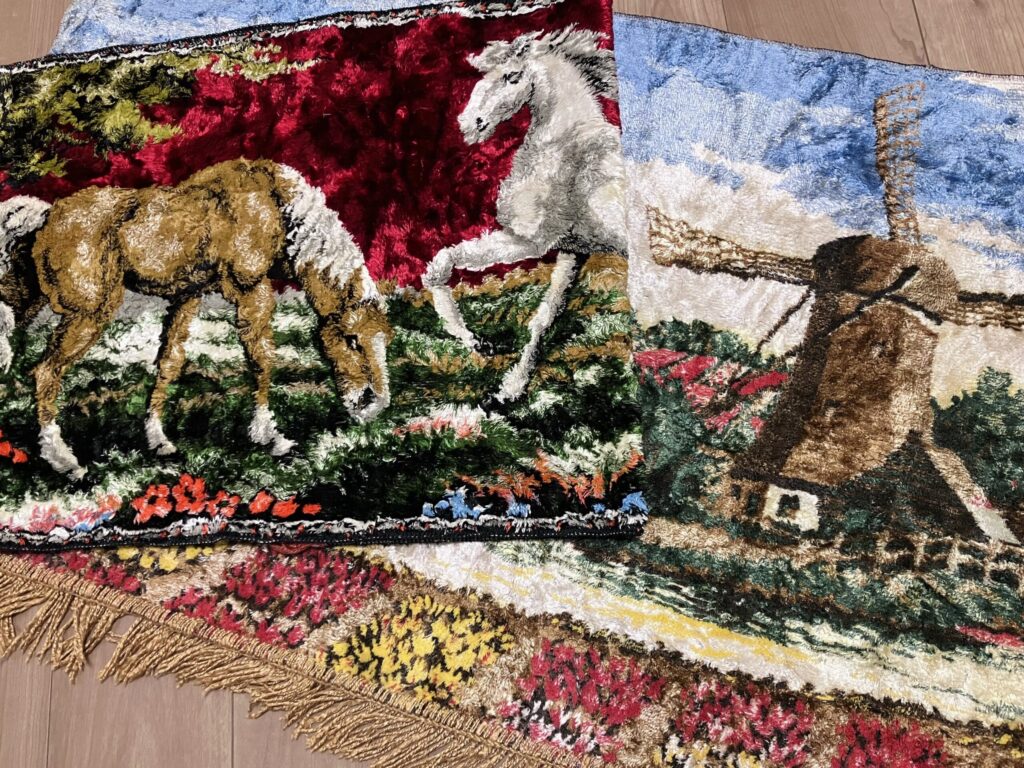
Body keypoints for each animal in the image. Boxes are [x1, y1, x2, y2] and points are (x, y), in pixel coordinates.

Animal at [0, 158, 391, 480]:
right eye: (353, 340)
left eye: (384, 339)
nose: (372, 405)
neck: (277, 207)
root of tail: (44, 218)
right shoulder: (250, 288)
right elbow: (262, 358)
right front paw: (270, 436)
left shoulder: (188, 295)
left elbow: (169, 362)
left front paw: (158, 440)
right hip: (89, 312)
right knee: (46, 372)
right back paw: (64, 461)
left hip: (32, 302)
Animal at [423, 25, 627, 406]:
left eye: (512, 76)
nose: (469, 124)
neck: (564, 144)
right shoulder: (572, 251)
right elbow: (544, 319)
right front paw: (505, 387)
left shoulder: (531, 241)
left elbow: (444, 264)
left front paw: (484, 351)